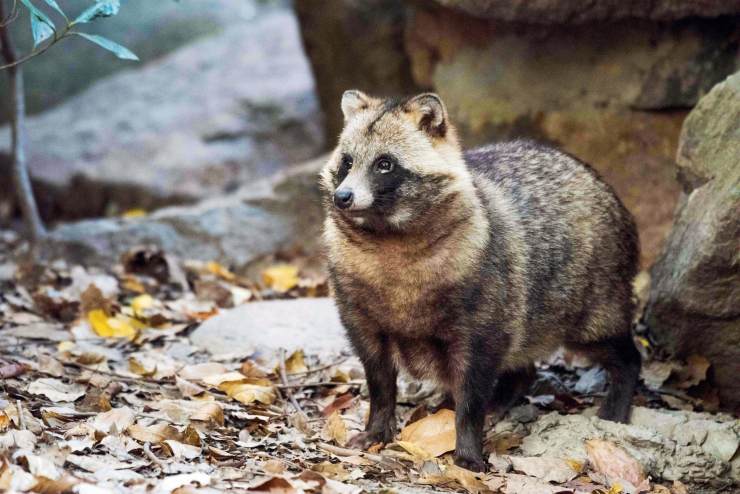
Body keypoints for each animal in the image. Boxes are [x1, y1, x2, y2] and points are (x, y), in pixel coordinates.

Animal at [320, 89, 640, 470]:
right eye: (347, 162)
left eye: (385, 164)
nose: (343, 197)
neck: (388, 240)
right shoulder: (357, 310)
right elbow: (379, 377)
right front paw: (377, 426)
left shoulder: (483, 312)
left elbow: (471, 392)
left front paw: (468, 447)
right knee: (521, 362)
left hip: (594, 296)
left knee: (618, 347)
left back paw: (620, 391)